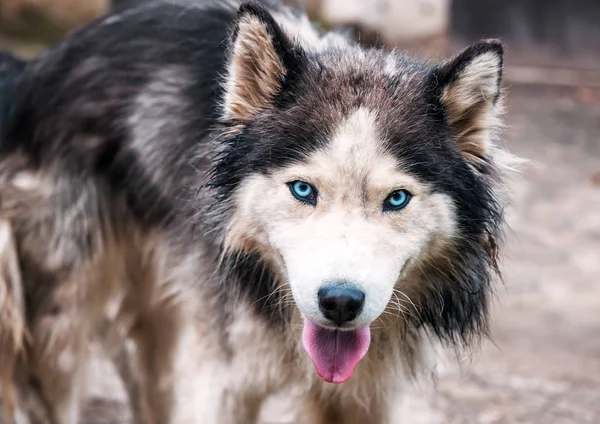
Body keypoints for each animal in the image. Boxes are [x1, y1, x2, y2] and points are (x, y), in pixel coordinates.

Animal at [0, 0, 516, 422]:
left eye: (396, 199)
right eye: (303, 190)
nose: (340, 302)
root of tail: (35, 68)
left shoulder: (366, 397)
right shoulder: (222, 384)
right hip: (61, 329)